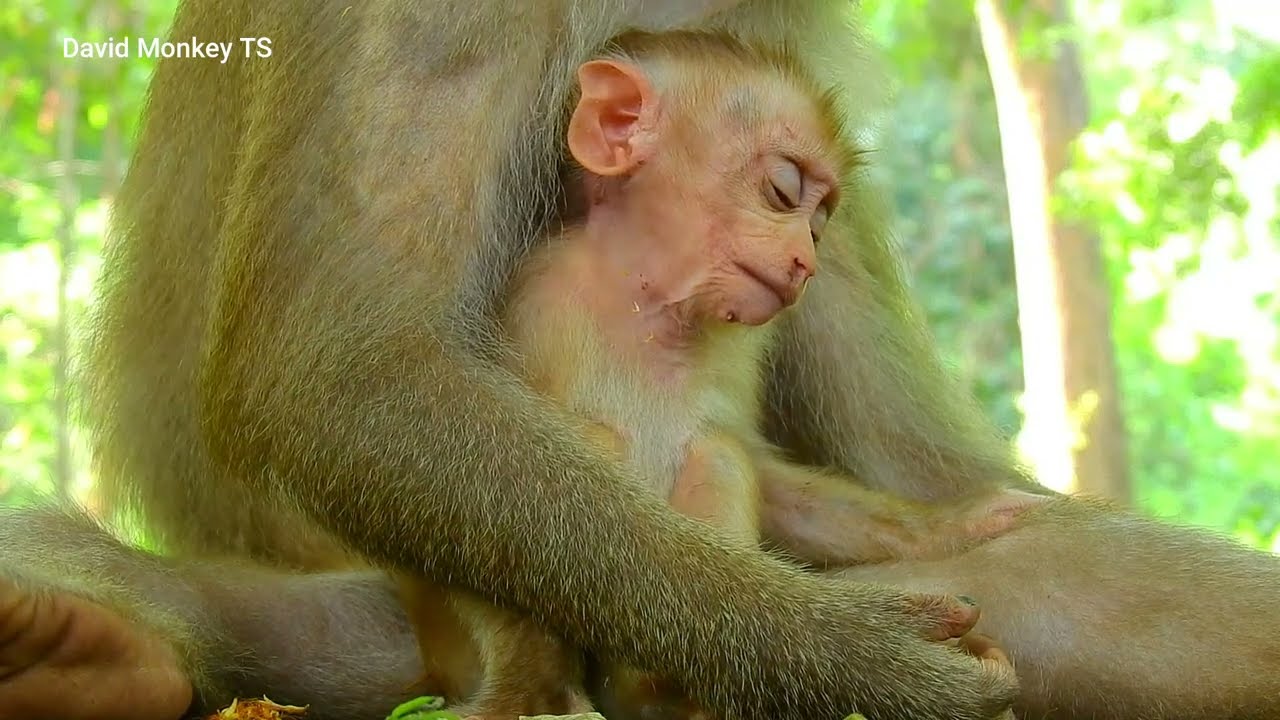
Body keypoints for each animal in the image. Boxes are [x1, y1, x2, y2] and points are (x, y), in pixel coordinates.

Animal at [393, 32, 1043, 719]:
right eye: (784, 189)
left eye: (820, 222)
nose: (805, 263)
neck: (648, 311)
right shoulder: (533, 303)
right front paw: (523, 685)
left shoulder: (740, 349)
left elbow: (765, 473)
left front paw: (953, 525)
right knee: (596, 445)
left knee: (717, 451)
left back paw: (670, 695)